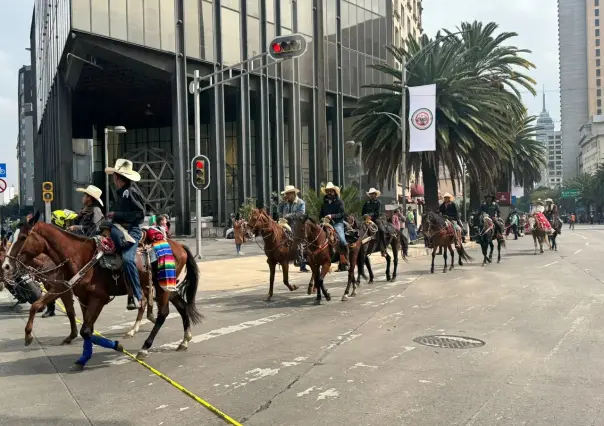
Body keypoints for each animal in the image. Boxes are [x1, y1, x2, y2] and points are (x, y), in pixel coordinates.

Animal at [4, 215, 202, 368]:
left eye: (23, 237)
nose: (6, 265)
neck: (79, 256)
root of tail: (179, 246)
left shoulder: (99, 298)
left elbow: (85, 330)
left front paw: (115, 346)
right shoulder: (76, 295)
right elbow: (42, 308)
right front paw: (29, 335)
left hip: (162, 287)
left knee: (163, 314)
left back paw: (145, 347)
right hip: (168, 286)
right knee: (182, 307)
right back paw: (185, 340)